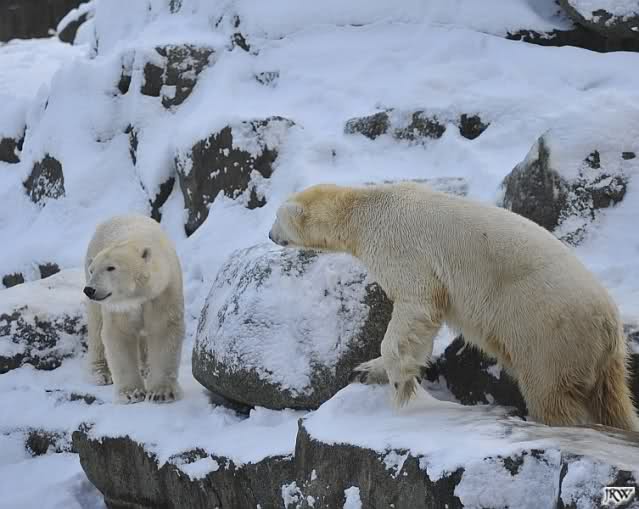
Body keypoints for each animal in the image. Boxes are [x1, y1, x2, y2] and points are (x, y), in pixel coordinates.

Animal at [83, 214, 185, 403]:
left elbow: (163, 329)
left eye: (111, 267)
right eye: (93, 270)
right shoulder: (119, 307)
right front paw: (132, 393)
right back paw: (101, 373)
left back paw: (146, 368)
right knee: (95, 325)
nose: (89, 290)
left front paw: (161, 392)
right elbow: (119, 334)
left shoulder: (162, 293)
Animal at [269, 182, 639, 431]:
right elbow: (421, 330)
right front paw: (366, 369)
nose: (270, 235)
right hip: (598, 356)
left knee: (551, 392)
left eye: (276, 217)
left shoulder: (401, 248)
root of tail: (609, 325)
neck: (366, 208)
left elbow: (415, 304)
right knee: (611, 400)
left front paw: (399, 388)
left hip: (549, 334)